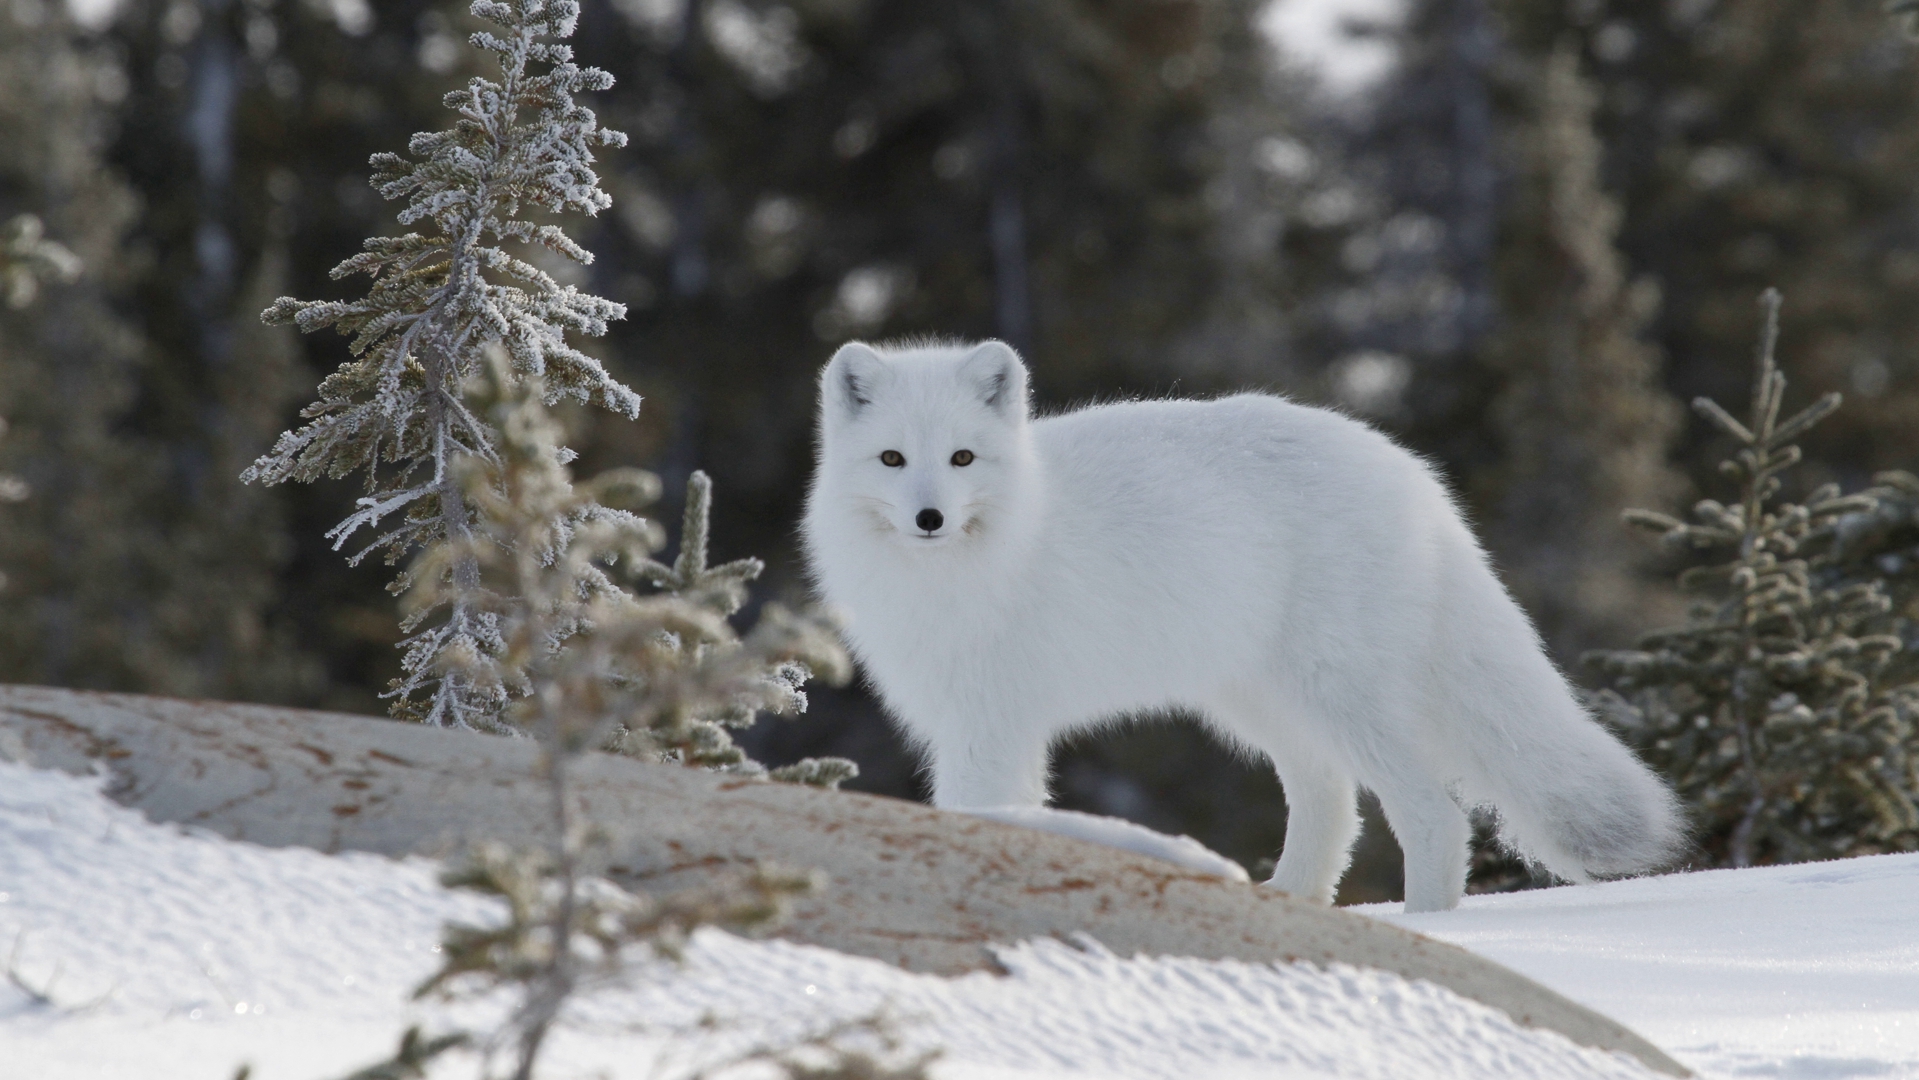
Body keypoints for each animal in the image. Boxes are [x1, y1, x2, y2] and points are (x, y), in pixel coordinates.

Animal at [802, 339, 1688, 913]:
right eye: (890, 460)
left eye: (961, 459)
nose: (928, 518)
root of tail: (1413, 475)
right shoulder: (973, 725)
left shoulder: (989, 727)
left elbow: (980, 814)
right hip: (1260, 705)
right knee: (1333, 803)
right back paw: (1291, 903)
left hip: (1337, 696)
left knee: (1432, 812)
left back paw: (1427, 929)